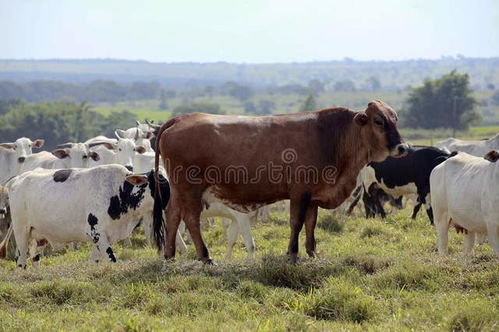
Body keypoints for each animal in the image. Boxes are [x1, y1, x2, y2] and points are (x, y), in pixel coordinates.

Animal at [0, 165, 170, 268]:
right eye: (159, 184)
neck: (119, 190)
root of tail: (18, 178)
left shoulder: (103, 237)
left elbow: (94, 260)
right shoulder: (96, 232)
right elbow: (112, 259)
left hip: (40, 235)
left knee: (34, 256)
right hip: (21, 231)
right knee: (21, 258)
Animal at [156, 100, 410, 264]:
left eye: (395, 119)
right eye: (378, 121)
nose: (403, 147)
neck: (332, 137)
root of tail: (181, 118)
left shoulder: (313, 196)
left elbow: (311, 223)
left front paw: (312, 252)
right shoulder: (299, 192)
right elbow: (296, 222)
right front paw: (293, 253)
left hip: (179, 190)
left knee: (173, 214)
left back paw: (169, 255)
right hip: (190, 188)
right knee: (191, 218)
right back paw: (205, 256)